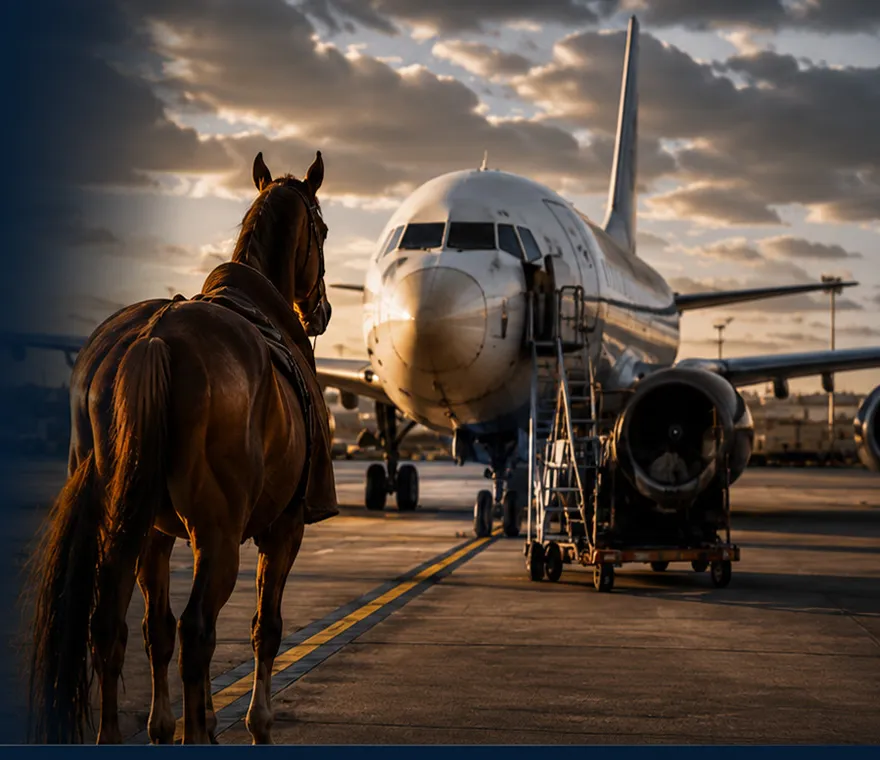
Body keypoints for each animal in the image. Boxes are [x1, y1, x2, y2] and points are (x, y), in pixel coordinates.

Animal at [26, 151, 337, 745]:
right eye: (324, 229)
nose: (323, 312)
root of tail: (155, 334)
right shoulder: (282, 529)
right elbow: (265, 627)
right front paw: (255, 723)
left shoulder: (159, 533)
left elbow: (156, 629)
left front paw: (179, 721)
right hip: (218, 535)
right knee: (198, 630)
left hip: (126, 525)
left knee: (112, 627)